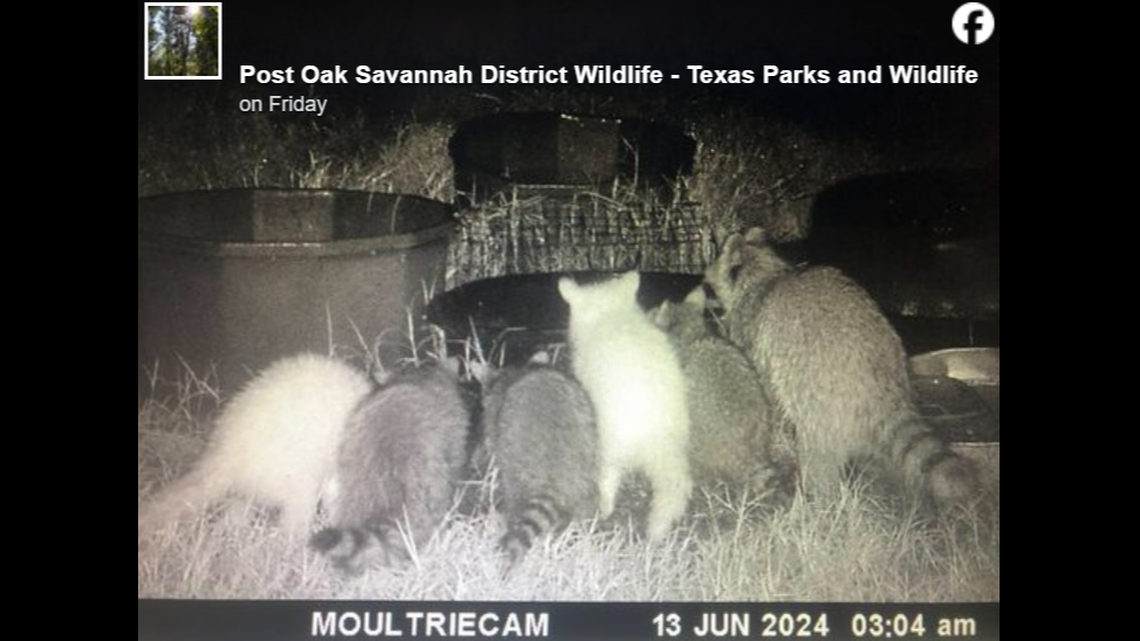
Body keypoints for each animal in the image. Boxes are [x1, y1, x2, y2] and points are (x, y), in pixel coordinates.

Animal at [475, 359, 599, 568]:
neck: (518, 372)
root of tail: (554, 473)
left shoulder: (495, 412)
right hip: (586, 463)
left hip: (517, 469)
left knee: (513, 501)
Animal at [703, 228, 978, 508]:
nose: (704, 285)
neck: (767, 273)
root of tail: (881, 383)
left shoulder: (752, 329)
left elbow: (762, 384)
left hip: (822, 400)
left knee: (817, 452)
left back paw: (818, 496)